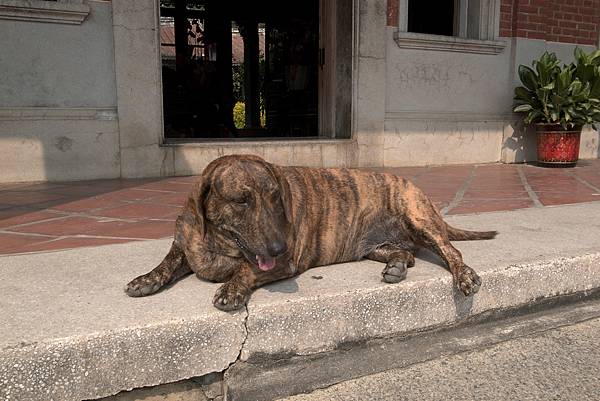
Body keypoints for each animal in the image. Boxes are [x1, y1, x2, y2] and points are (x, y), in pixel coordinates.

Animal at [125, 155, 496, 310]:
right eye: (242, 200)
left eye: (276, 196)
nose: (277, 247)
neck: (219, 241)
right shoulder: (185, 246)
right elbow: (168, 262)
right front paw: (147, 279)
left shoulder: (283, 263)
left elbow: (245, 269)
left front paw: (232, 290)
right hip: (373, 245)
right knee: (407, 254)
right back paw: (396, 265)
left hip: (419, 218)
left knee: (452, 252)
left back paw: (464, 275)